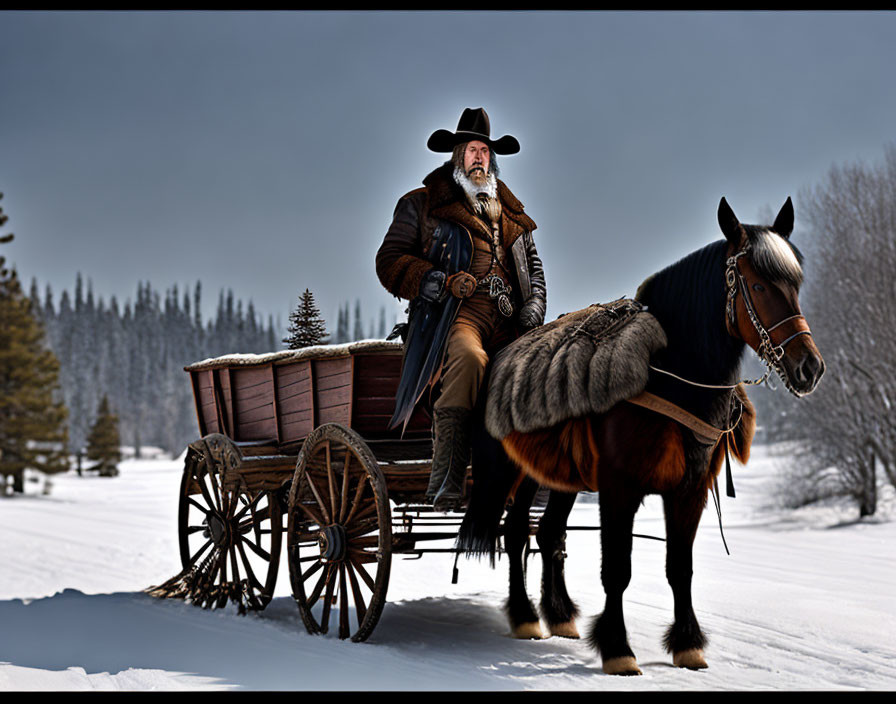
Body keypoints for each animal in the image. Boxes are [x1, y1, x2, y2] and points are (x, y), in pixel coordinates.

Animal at [462, 195, 824, 672]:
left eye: (795, 285)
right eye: (759, 286)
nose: (810, 367)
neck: (669, 375)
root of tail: (502, 355)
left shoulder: (689, 489)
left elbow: (679, 568)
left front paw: (687, 643)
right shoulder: (620, 487)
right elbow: (618, 569)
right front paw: (617, 648)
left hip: (561, 478)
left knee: (547, 533)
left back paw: (559, 615)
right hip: (516, 472)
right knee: (517, 532)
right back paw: (524, 616)